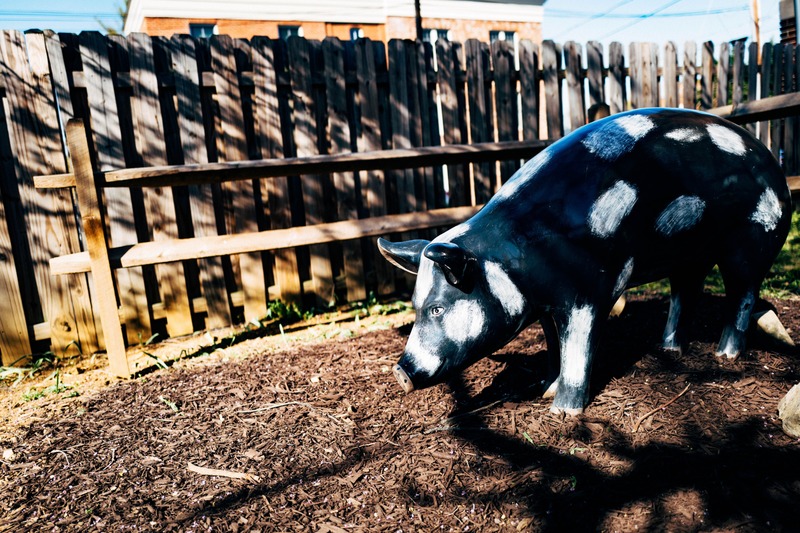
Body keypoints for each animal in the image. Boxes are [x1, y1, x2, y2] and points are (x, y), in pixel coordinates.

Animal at [378, 108, 792, 415]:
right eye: (415, 306)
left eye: (437, 308)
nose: (401, 372)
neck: (521, 253)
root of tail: (775, 165)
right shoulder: (547, 304)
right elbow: (553, 345)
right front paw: (544, 388)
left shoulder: (591, 290)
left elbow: (578, 346)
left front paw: (562, 411)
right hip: (690, 256)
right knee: (684, 293)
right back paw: (669, 351)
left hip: (754, 240)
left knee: (742, 295)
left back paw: (725, 355)